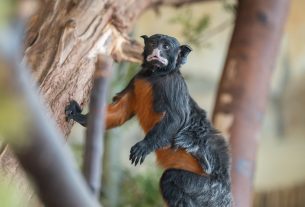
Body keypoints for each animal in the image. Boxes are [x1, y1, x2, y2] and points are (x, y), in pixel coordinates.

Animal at [65, 34, 232, 207]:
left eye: (166, 47)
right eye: (153, 43)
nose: (157, 52)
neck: (154, 76)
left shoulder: (173, 85)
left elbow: (176, 119)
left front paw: (145, 145)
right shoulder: (137, 80)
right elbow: (120, 111)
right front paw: (80, 116)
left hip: (207, 189)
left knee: (170, 178)